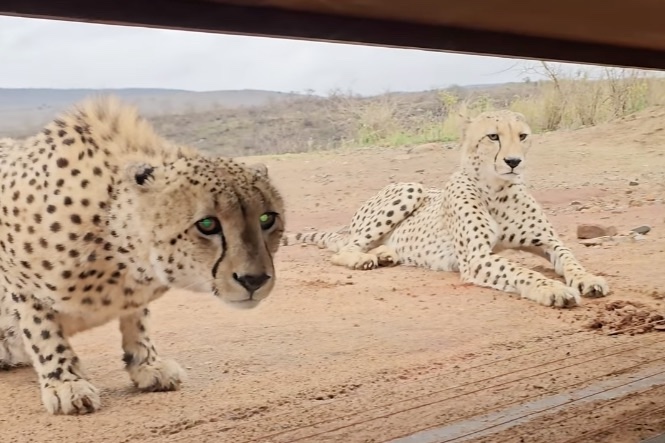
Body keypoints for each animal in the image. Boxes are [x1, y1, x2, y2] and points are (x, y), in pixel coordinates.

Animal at [0, 97, 282, 416]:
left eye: (267, 219)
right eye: (208, 225)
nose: (254, 280)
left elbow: (138, 320)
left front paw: (147, 365)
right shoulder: (21, 284)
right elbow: (44, 333)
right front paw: (65, 383)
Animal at [280, 110, 608, 308]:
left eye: (523, 136)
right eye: (493, 136)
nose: (514, 162)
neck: (498, 190)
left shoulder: (549, 241)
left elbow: (570, 259)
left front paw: (588, 279)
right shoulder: (476, 257)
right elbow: (520, 270)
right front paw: (552, 289)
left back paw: (385, 254)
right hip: (411, 188)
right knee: (343, 249)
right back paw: (363, 259)